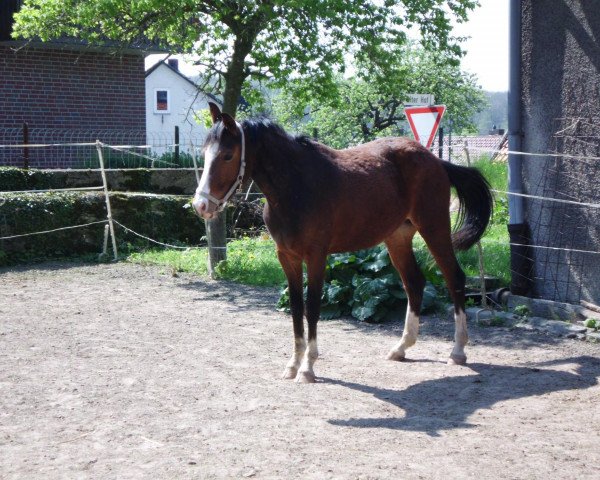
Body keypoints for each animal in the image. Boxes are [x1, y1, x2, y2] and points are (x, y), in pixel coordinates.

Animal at [192, 103, 492, 384]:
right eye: (204, 153)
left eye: (228, 155)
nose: (200, 205)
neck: (296, 187)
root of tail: (436, 160)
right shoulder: (286, 257)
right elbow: (296, 309)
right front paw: (293, 364)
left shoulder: (316, 256)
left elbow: (312, 307)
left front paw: (308, 368)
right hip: (397, 237)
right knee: (414, 283)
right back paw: (401, 348)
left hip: (434, 228)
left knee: (454, 278)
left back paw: (457, 351)